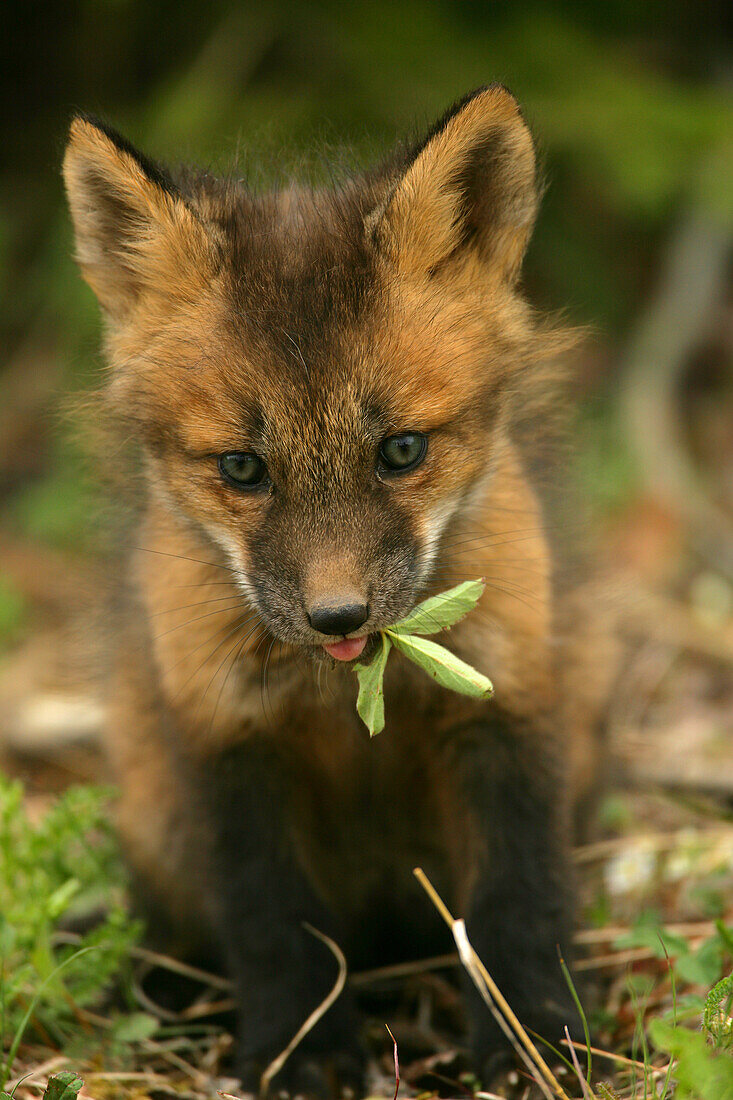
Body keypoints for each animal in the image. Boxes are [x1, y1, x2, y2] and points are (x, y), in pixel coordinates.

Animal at [64, 88, 611, 1100]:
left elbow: (519, 900)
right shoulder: (229, 742)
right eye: (242, 468)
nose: (339, 617)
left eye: (401, 450)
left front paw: (534, 1044)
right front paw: (301, 1053)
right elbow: (274, 925)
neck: (343, 698)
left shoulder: (503, 708)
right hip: (157, 817)